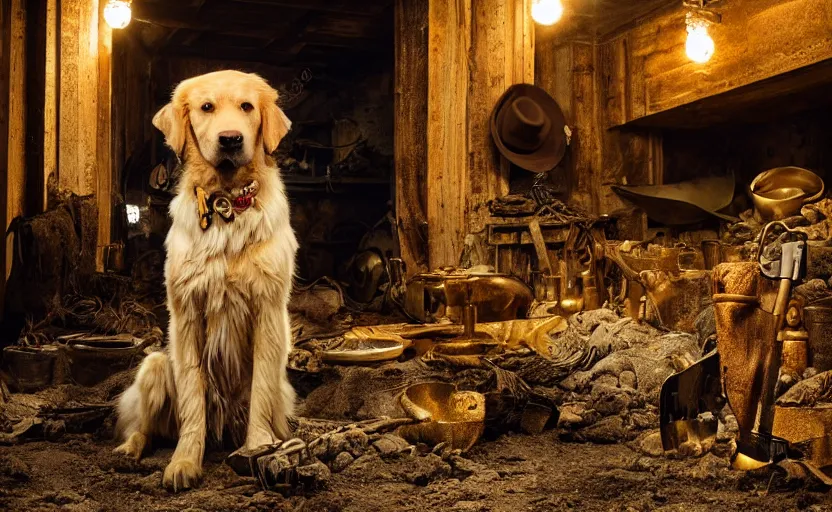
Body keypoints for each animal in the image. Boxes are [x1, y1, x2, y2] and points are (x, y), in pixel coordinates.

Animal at [114, 71, 296, 492]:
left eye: (247, 106)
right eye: (206, 107)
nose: (231, 139)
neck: (226, 206)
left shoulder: (267, 311)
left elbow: (260, 392)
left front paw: (258, 448)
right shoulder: (186, 314)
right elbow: (193, 398)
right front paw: (184, 462)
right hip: (154, 366)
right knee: (144, 427)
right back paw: (129, 450)